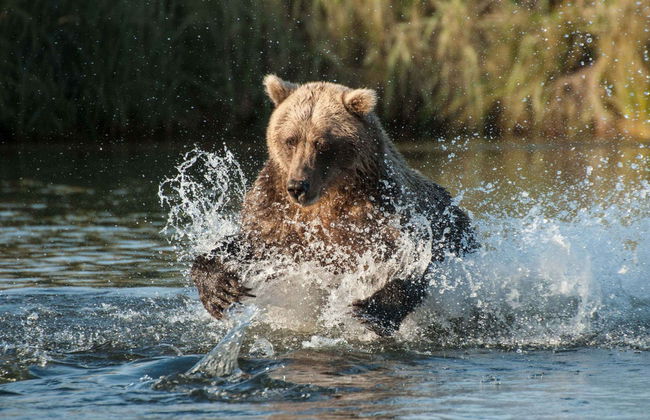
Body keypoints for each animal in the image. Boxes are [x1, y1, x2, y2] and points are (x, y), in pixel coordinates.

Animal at [191, 75, 477, 336]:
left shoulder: (382, 214)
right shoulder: (276, 213)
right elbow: (248, 244)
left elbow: (419, 262)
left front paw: (372, 309)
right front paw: (219, 289)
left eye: (321, 143)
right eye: (290, 139)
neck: (328, 198)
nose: (298, 186)